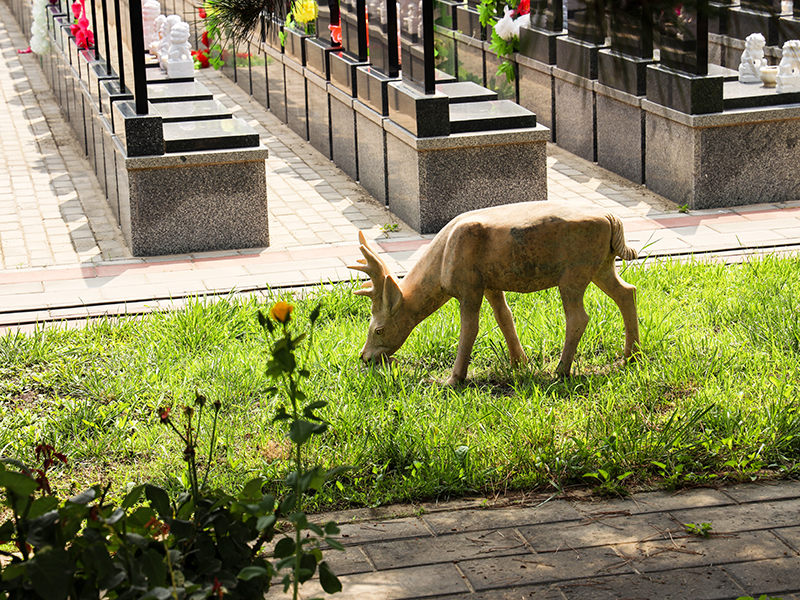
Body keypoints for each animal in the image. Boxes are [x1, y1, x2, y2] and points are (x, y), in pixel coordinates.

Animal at [346, 202, 640, 386]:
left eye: (379, 329)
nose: (365, 357)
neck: (441, 266)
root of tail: (612, 219)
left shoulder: (469, 286)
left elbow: (470, 329)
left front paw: (452, 379)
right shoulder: (490, 283)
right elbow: (504, 317)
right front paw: (519, 363)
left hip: (574, 271)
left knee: (579, 317)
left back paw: (561, 370)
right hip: (602, 265)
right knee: (627, 292)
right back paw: (632, 355)